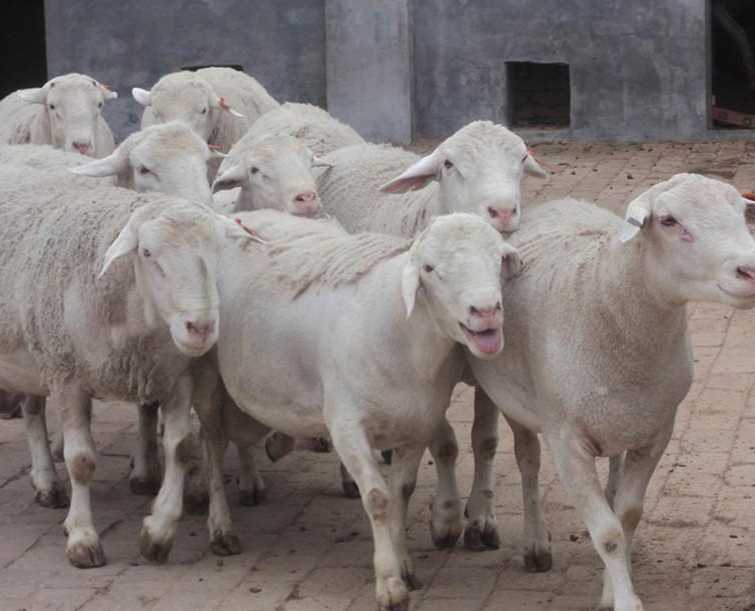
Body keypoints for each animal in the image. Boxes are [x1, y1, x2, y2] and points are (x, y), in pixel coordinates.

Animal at [0, 159, 256, 568]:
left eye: (219, 251)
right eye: (147, 253)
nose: (200, 327)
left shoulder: (175, 374)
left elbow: (180, 448)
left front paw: (158, 532)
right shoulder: (67, 373)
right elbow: (80, 460)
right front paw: (82, 538)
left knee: (31, 406)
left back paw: (47, 482)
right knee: (34, 411)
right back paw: (48, 481)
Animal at [189, 210, 520, 611]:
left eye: (497, 257)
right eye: (429, 268)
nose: (485, 311)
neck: (400, 332)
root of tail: (240, 216)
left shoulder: (416, 425)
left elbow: (402, 491)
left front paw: (404, 565)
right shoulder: (347, 427)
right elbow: (377, 498)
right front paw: (389, 583)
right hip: (206, 372)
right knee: (211, 443)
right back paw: (221, 527)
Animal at [466, 173, 755, 611]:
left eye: (740, 210)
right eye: (668, 221)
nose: (750, 270)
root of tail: (562, 201)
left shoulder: (656, 432)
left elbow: (628, 516)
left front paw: (612, 587)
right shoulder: (567, 444)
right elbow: (607, 533)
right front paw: (624, 600)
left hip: (623, 417)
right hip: (515, 402)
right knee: (526, 462)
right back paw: (534, 544)